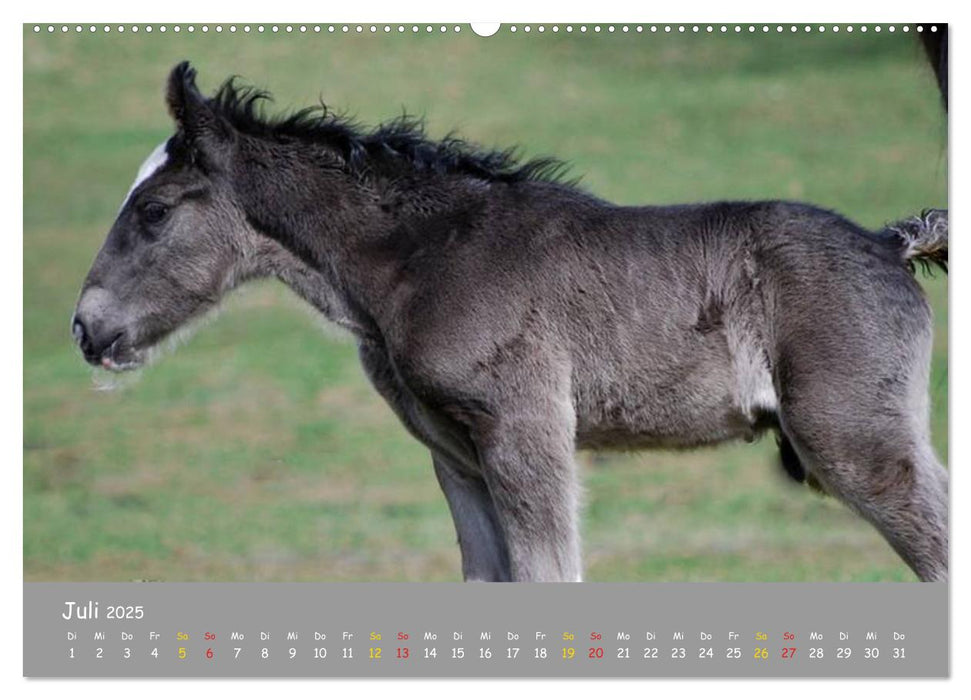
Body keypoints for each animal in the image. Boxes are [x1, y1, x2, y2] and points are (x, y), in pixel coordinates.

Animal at [70, 64, 948, 580]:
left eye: (153, 212)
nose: (85, 328)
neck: (424, 256)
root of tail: (887, 244)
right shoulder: (454, 458)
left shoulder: (524, 433)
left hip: (855, 440)